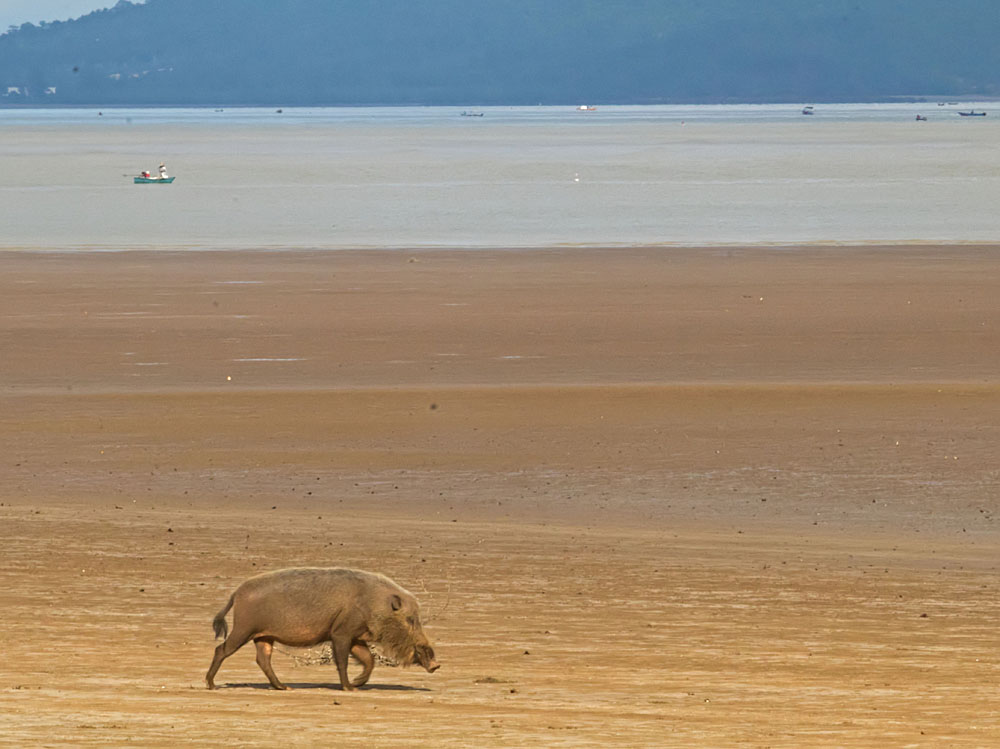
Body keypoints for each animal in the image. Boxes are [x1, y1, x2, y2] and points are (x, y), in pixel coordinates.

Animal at [205, 567, 439, 692]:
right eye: (410, 619)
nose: (436, 664)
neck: (373, 604)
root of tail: (236, 593)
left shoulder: (356, 637)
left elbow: (369, 659)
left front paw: (357, 684)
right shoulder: (340, 633)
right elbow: (343, 661)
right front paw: (349, 688)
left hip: (264, 636)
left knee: (263, 659)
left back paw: (285, 687)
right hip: (244, 629)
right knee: (221, 650)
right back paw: (211, 685)